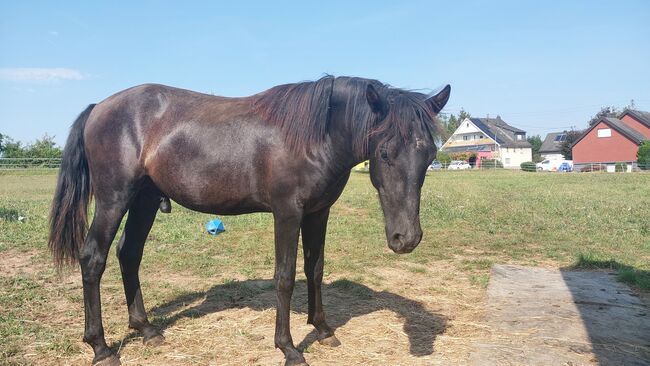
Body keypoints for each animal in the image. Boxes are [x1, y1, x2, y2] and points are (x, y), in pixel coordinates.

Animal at [48, 75, 448, 366]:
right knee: (93, 258)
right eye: (385, 152)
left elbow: (315, 269)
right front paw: (289, 348)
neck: (315, 135)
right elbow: (285, 277)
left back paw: (146, 329)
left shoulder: (318, 213)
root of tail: (99, 107)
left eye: (429, 155)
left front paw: (322, 329)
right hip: (114, 199)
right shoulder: (288, 213)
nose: (406, 238)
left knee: (129, 254)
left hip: (144, 200)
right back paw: (101, 348)